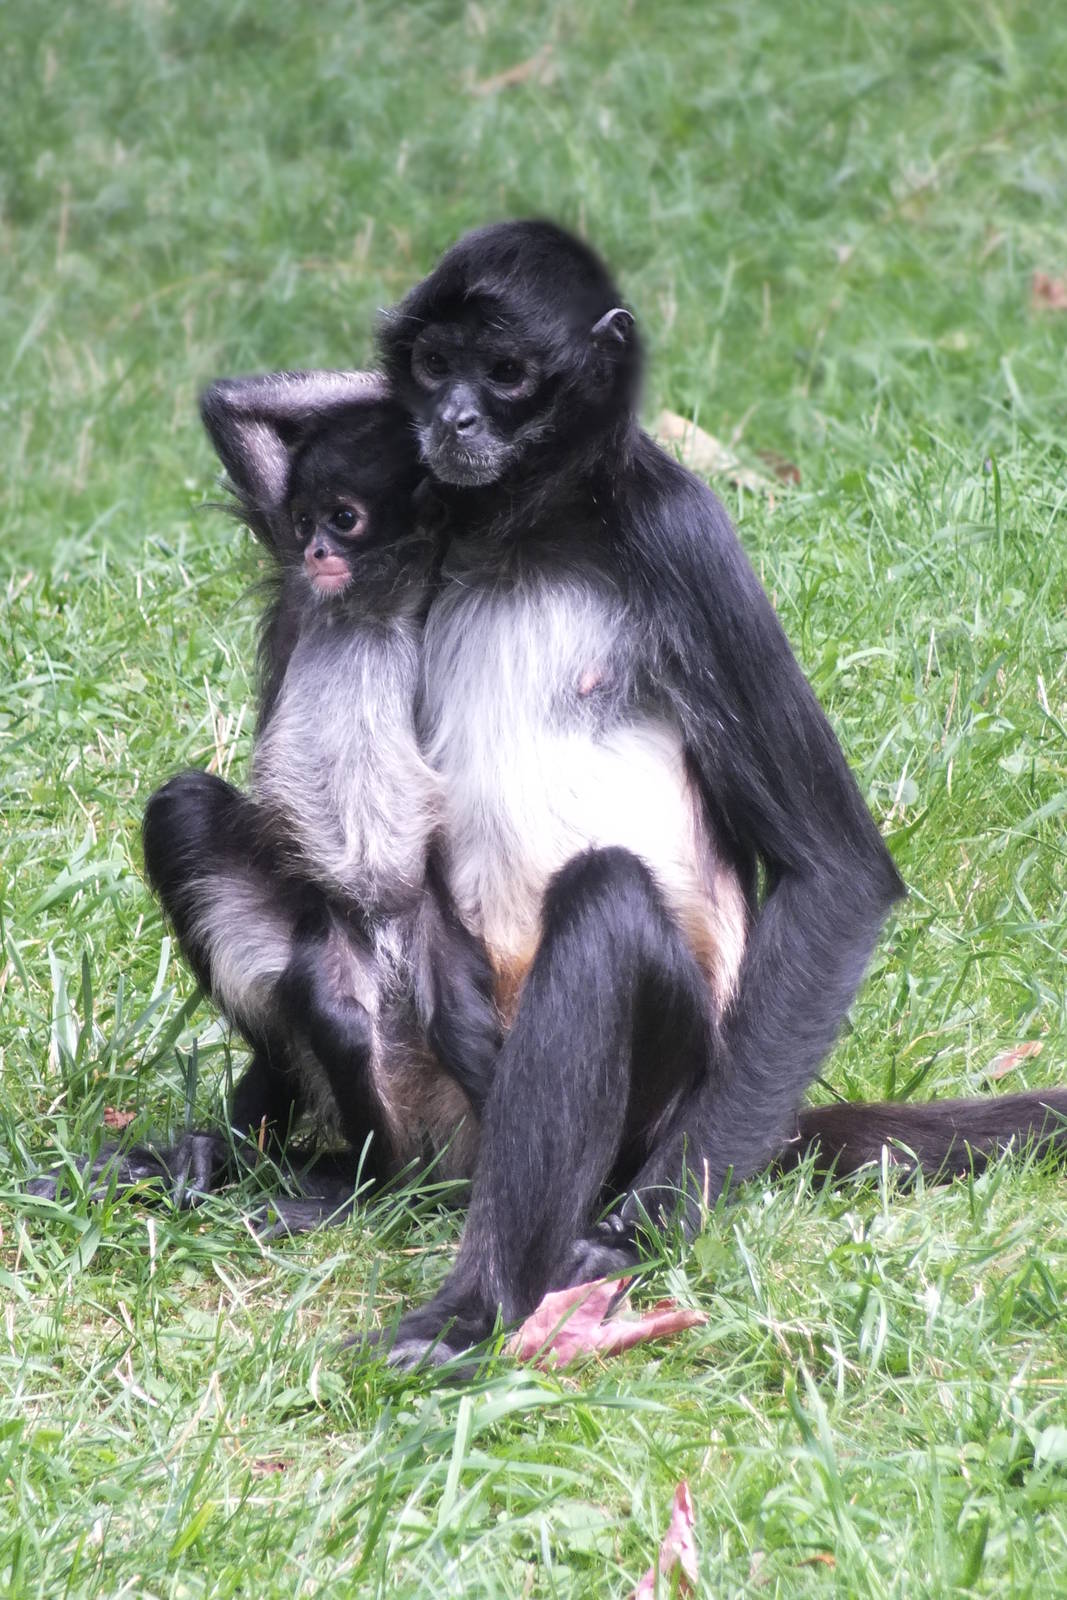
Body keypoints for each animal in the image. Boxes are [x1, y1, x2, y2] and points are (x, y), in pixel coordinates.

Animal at [361, 219, 1067, 1366]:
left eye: (504, 372)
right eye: (432, 364)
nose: (454, 418)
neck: (527, 537)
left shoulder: (679, 530)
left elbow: (840, 874)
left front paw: (644, 1229)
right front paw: (452, 996)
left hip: (675, 1086)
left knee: (605, 903)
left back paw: (474, 1306)